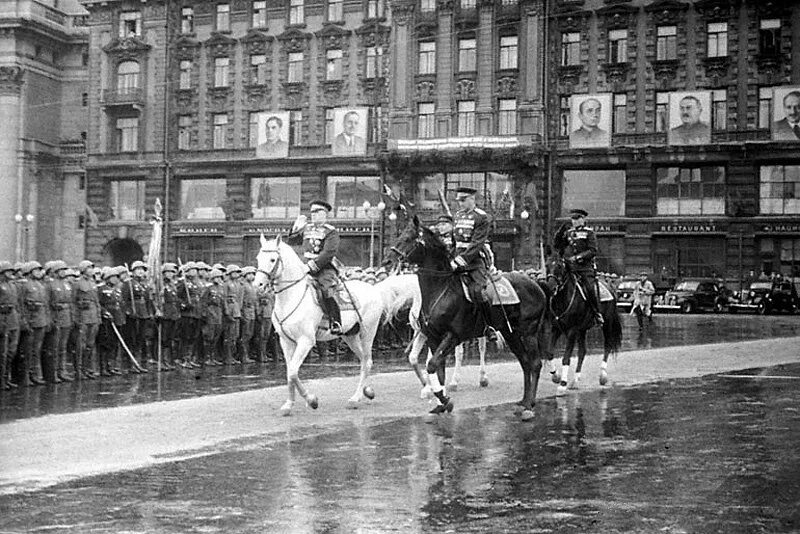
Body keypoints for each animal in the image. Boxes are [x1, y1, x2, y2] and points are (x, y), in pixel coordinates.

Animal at [256, 236, 400, 418]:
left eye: (273, 259)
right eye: (258, 258)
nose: (258, 285)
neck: (291, 297)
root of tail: (373, 288)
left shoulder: (306, 341)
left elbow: (293, 372)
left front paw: (311, 400)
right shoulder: (286, 342)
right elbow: (290, 373)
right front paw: (289, 405)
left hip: (368, 333)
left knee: (367, 361)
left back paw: (355, 398)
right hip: (350, 336)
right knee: (363, 361)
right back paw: (367, 391)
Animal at [390, 218, 552, 422]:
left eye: (409, 238)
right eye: (401, 234)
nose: (390, 257)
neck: (440, 290)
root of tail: (536, 284)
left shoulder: (453, 336)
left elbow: (432, 365)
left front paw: (445, 399)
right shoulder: (433, 337)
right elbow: (438, 370)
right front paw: (441, 402)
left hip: (528, 332)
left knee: (535, 363)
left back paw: (529, 406)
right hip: (510, 333)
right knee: (525, 362)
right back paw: (523, 401)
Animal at [548, 255, 620, 394]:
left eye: (559, 266)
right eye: (547, 265)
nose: (551, 287)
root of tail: (609, 287)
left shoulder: (571, 331)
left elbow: (566, 357)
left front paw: (562, 384)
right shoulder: (556, 328)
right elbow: (549, 353)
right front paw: (556, 376)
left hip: (607, 323)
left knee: (607, 345)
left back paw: (602, 376)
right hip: (582, 330)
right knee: (582, 351)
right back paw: (575, 381)